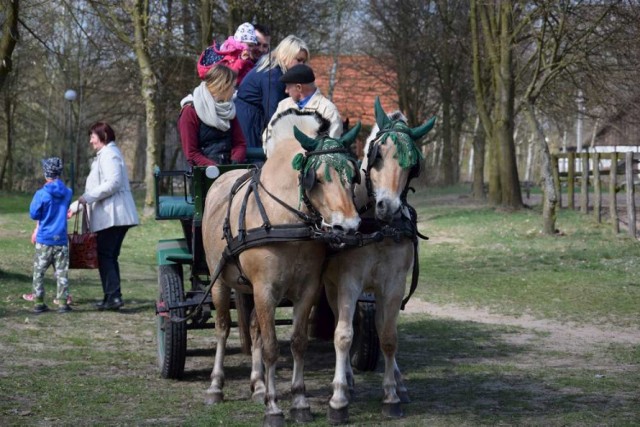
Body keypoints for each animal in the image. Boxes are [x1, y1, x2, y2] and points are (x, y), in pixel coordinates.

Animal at [201, 108, 360, 426]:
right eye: (318, 178)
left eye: (353, 174)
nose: (348, 226)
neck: (285, 218)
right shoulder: (265, 290)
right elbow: (272, 347)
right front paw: (274, 407)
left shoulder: (307, 289)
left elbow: (297, 342)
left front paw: (299, 401)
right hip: (220, 282)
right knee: (223, 328)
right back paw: (216, 386)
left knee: (253, 328)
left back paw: (258, 385)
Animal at [322, 99, 438, 424]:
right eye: (378, 154)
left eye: (412, 164)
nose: (389, 206)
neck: (378, 228)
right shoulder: (348, 282)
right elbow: (343, 335)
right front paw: (338, 399)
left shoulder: (394, 284)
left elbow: (388, 336)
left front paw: (391, 395)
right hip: (331, 285)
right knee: (340, 324)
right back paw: (347, 380)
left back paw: (397, 382)